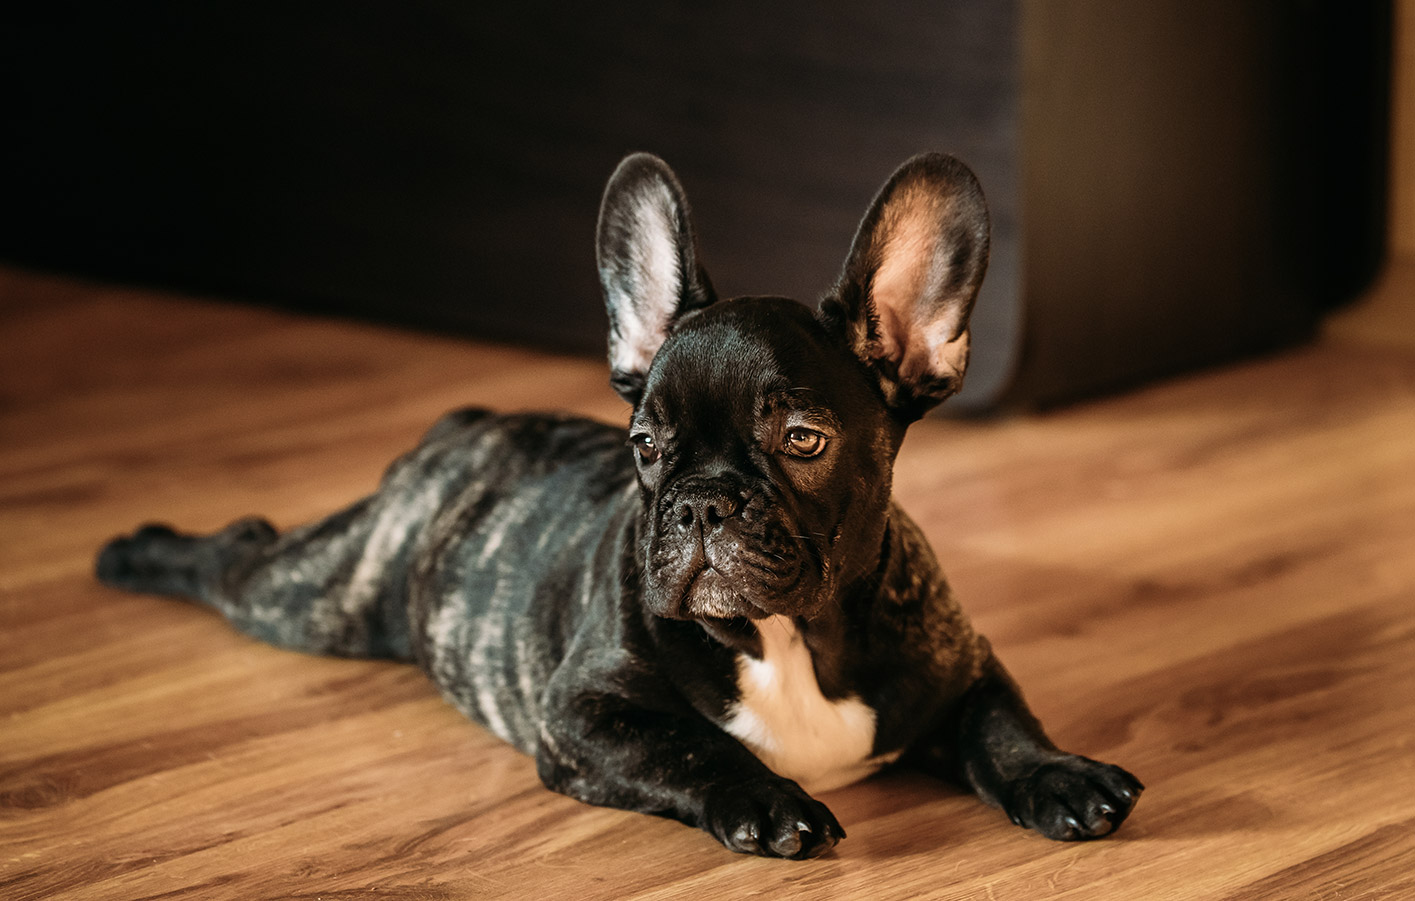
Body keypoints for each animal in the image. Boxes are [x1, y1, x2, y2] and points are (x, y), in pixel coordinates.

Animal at [96, 152, 1137, 859]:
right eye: (644, 447)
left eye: (802, 440)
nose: (699, 506)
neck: (791, 638)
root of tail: (464, 425)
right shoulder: (583, 714)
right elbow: (692, 748)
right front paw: (771, 799)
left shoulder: (962, 662)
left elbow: (1001, 722)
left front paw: (1057, 772)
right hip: (316, 598)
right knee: (238, 550)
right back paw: (135, 551)